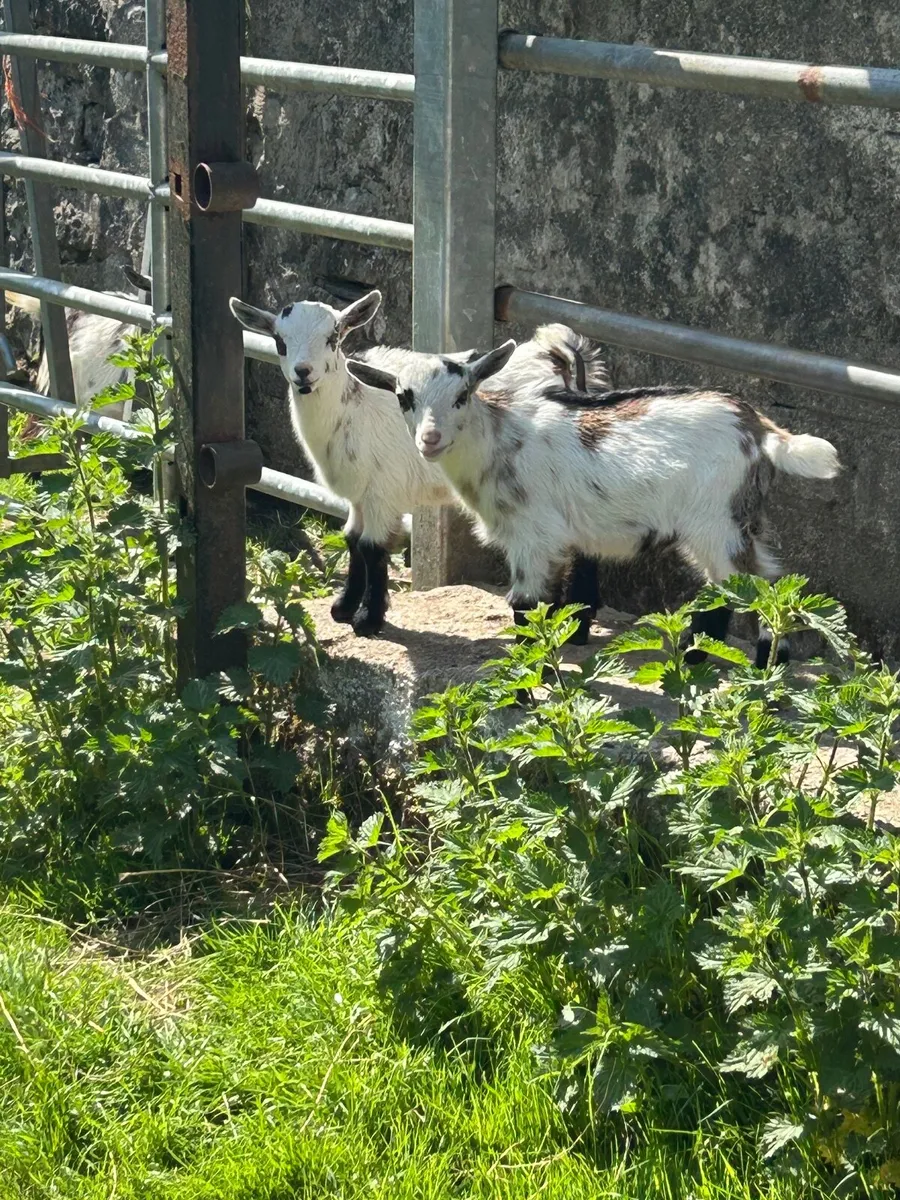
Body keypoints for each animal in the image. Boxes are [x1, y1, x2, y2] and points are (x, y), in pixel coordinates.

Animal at [230, 291, 610, 639]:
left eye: (333, 336)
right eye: (279, 341)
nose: (303, 373)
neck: (353, 413)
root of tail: (558, 355)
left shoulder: (382, 492)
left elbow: (371, 547)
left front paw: (367, 620)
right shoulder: (359, 495)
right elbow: (352, 539)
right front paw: (343, 608)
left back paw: (578, 625)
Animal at [346, 341, 841, 668]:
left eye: (461, 396)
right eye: (404, 397)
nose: (430, 439)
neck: (499, 439)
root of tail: (759, 429)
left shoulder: (532, 537)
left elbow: (526, 607)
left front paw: (528, 683)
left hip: (717, 522)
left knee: (755, 585)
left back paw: (763, 663)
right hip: (730, 523)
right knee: (743, 583)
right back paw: (707, 657)